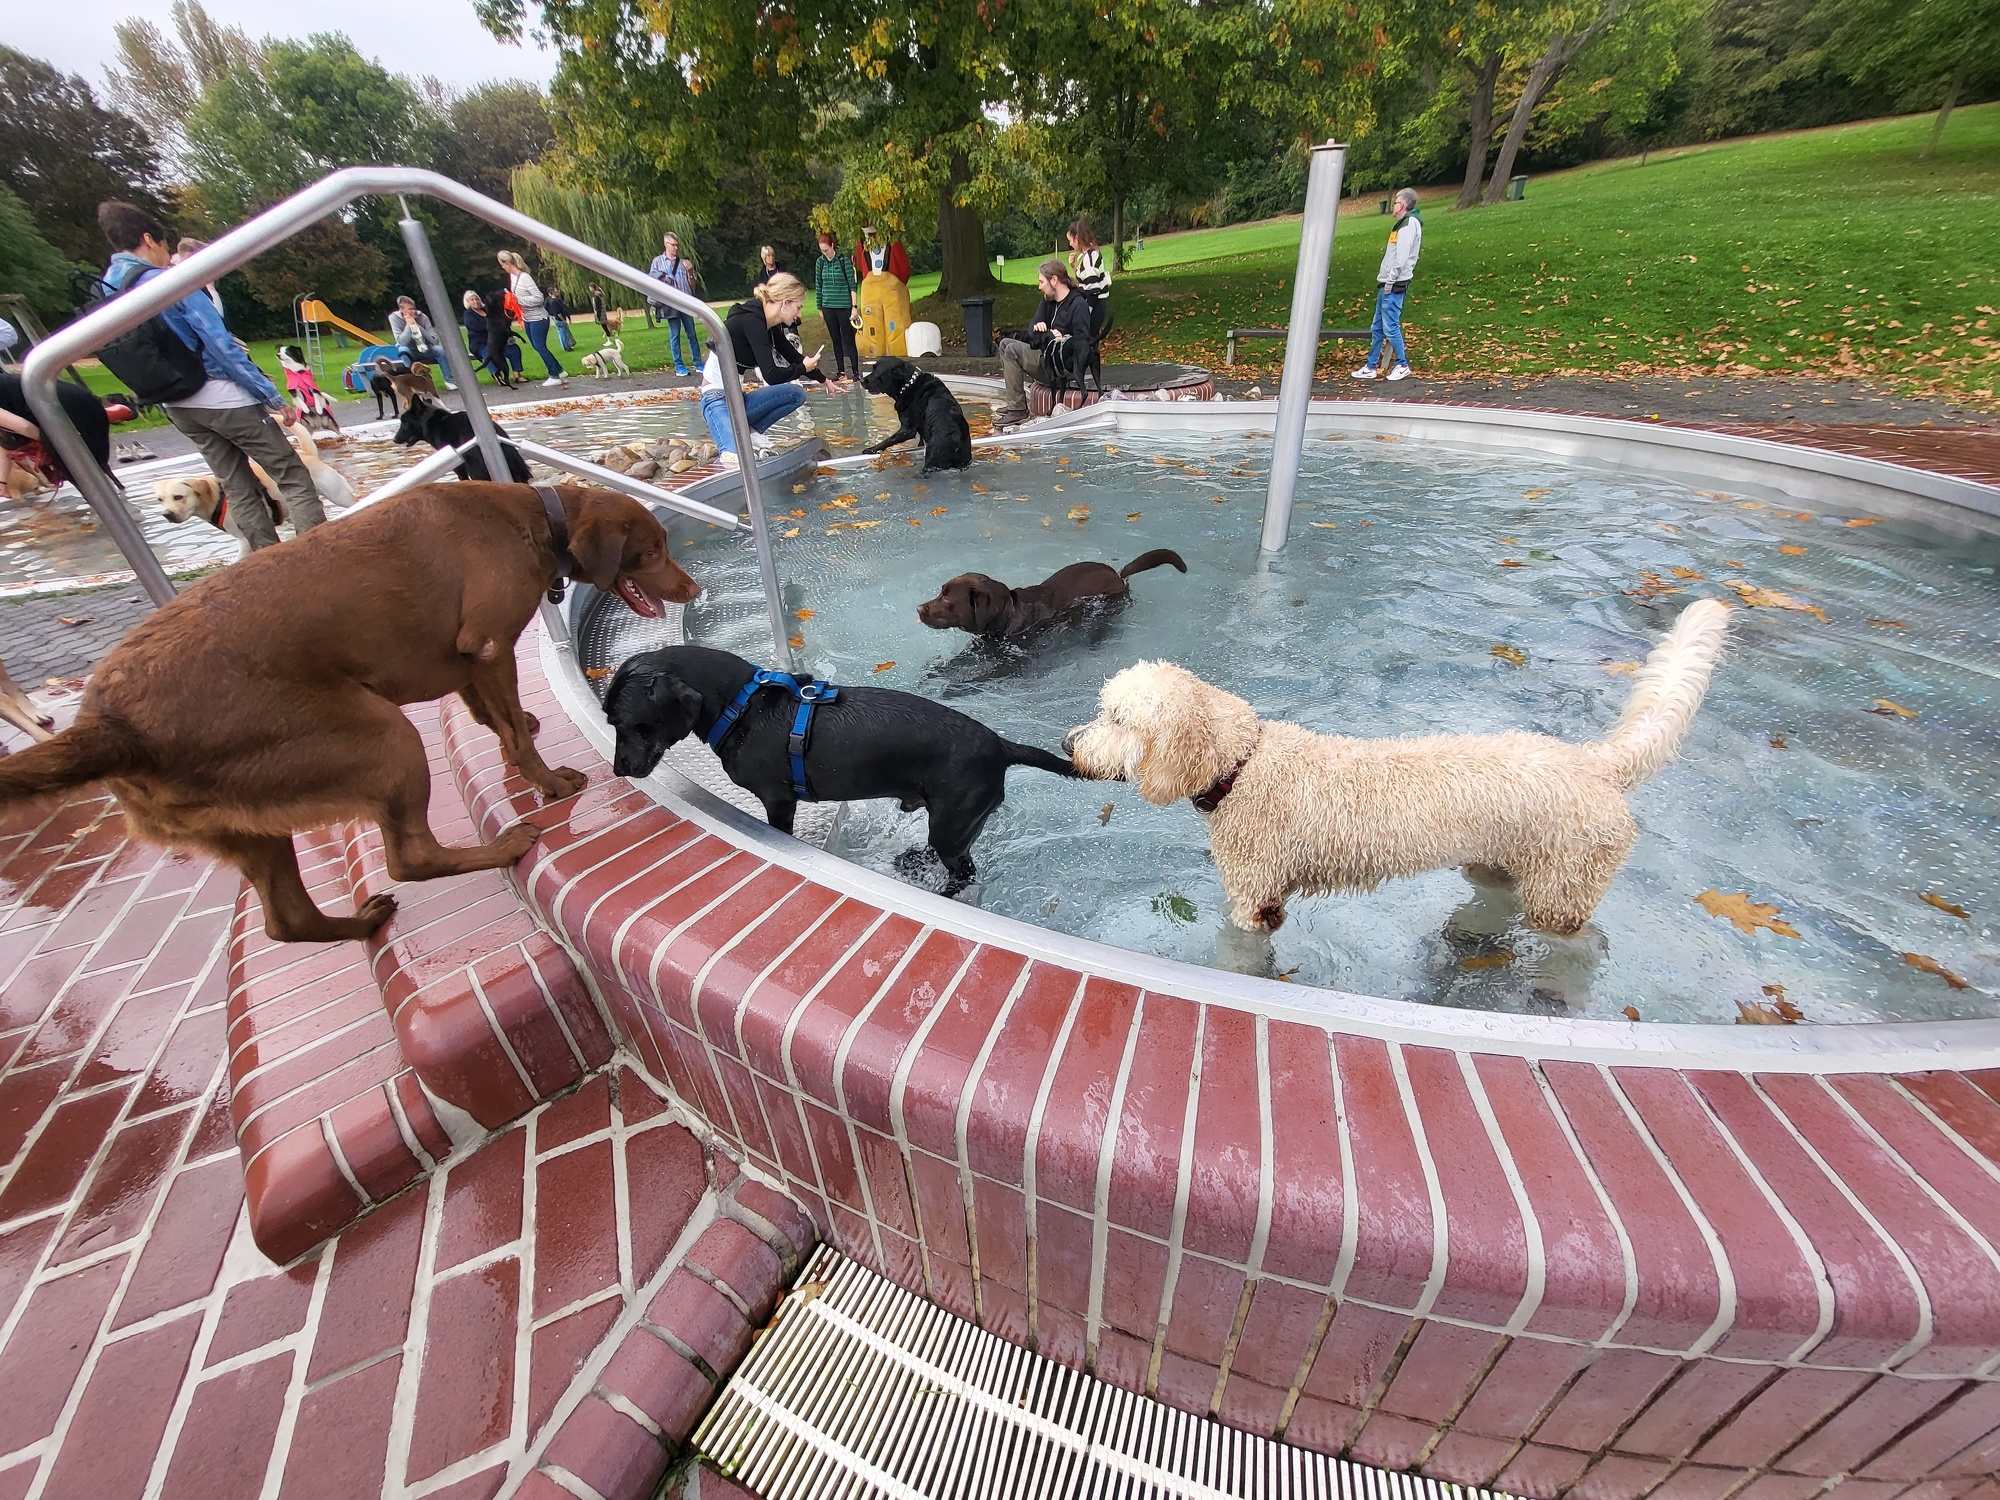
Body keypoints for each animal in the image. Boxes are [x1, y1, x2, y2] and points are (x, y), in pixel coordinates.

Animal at [0, 482, 699, 943]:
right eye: (654, 549)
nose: (692, 587)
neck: (531, 516)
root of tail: (110, 728)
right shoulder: (489, 643)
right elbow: (509, 726)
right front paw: (548, 781)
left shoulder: (467, 657)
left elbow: (492, 715)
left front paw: (515, 729)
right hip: (382, 737)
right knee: (408, 856)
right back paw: (502, 846)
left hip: (246, 819)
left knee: (285, 920)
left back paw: (361, 921)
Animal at [604, 645, 1080, 893]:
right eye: (611, 722)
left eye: (629, 724)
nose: (618, 770)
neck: (741, 705)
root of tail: (1001, 745)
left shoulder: (778, 800)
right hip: (952, 820)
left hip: (954, 821)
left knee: (963, 870)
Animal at [1064, 599, 1732, 942]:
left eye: (1116, 717)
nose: (1069, 744)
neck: (1244, 766)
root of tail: (1596, 764)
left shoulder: (1253, 893)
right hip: (1501, 862)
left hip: (1565, 886)